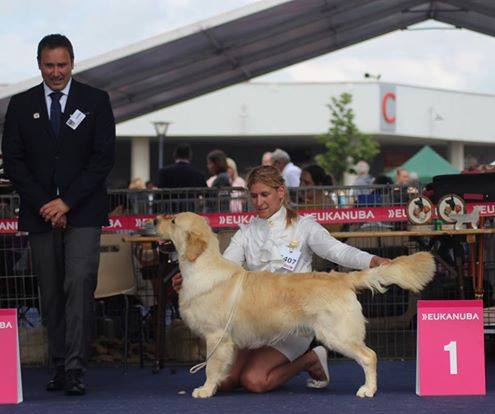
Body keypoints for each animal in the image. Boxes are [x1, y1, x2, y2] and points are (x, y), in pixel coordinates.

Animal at [155, 213, 434, 398]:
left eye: (173, 221)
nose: (156, 218)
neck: (201, 267)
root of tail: (341, 277)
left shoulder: (216, 337)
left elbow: (211, 366)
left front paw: (205, 389)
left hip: (338, 334)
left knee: (369, 356)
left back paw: (368, 389)